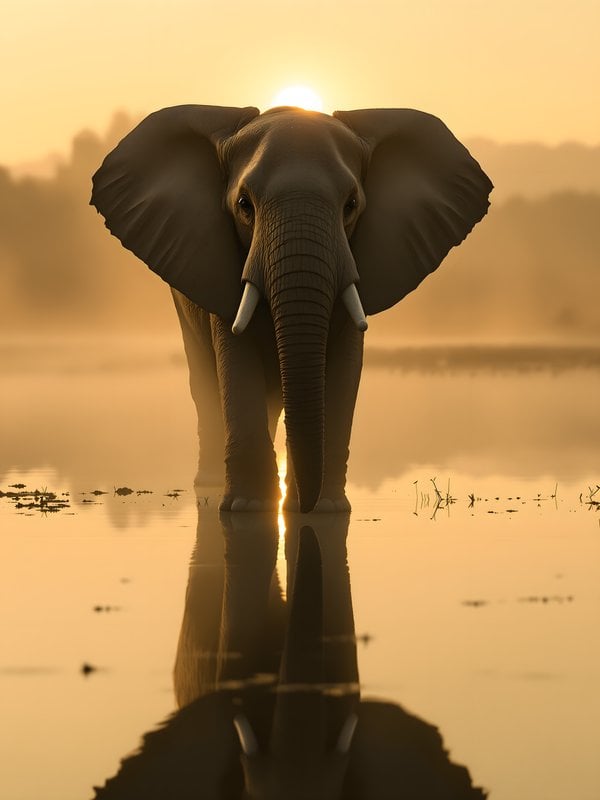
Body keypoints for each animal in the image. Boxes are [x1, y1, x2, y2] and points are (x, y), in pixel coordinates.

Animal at [90, 105, 492, 513]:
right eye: (244, 206)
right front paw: (247, 509)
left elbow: (344, 366)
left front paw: (327, 510)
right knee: (205, 384)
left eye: (351, 206)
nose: (304, 506)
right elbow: (236, 358)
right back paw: (212, 487)